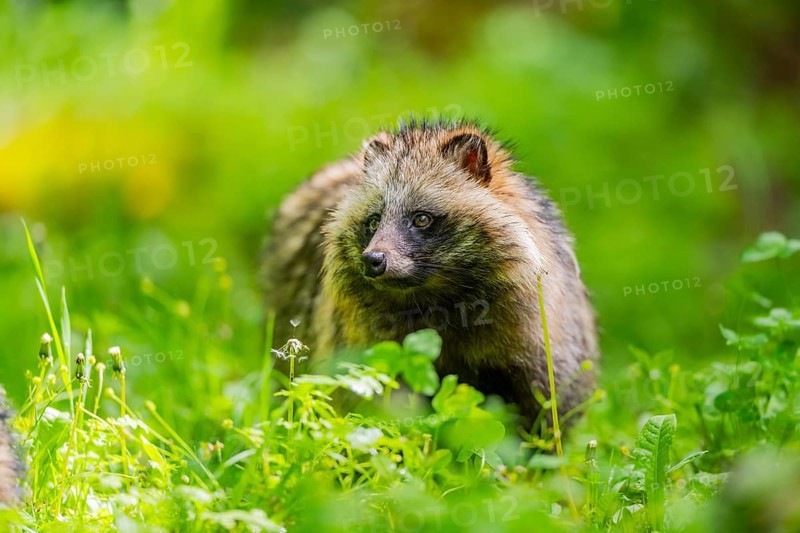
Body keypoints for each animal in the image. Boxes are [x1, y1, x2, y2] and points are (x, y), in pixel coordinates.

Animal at [265, 119, 598, 424]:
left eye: (422, 218)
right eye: (373, 221)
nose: (372, 260)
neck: (438, 301)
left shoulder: (542, 346)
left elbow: (547, 418)